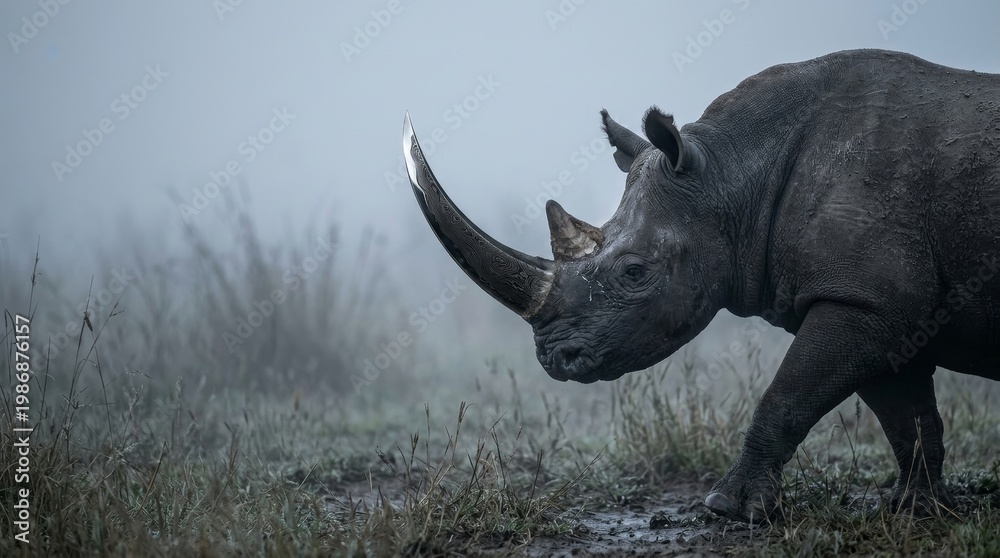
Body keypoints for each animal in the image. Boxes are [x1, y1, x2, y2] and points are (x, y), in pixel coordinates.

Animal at [402, 49, 1000, 523]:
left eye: (634, 272)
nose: (554, 358)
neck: (732, 173)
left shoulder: (865, 302)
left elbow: (788, 394)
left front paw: (728, 508)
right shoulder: (880, 305)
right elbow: (907, 417)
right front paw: (916, 508)